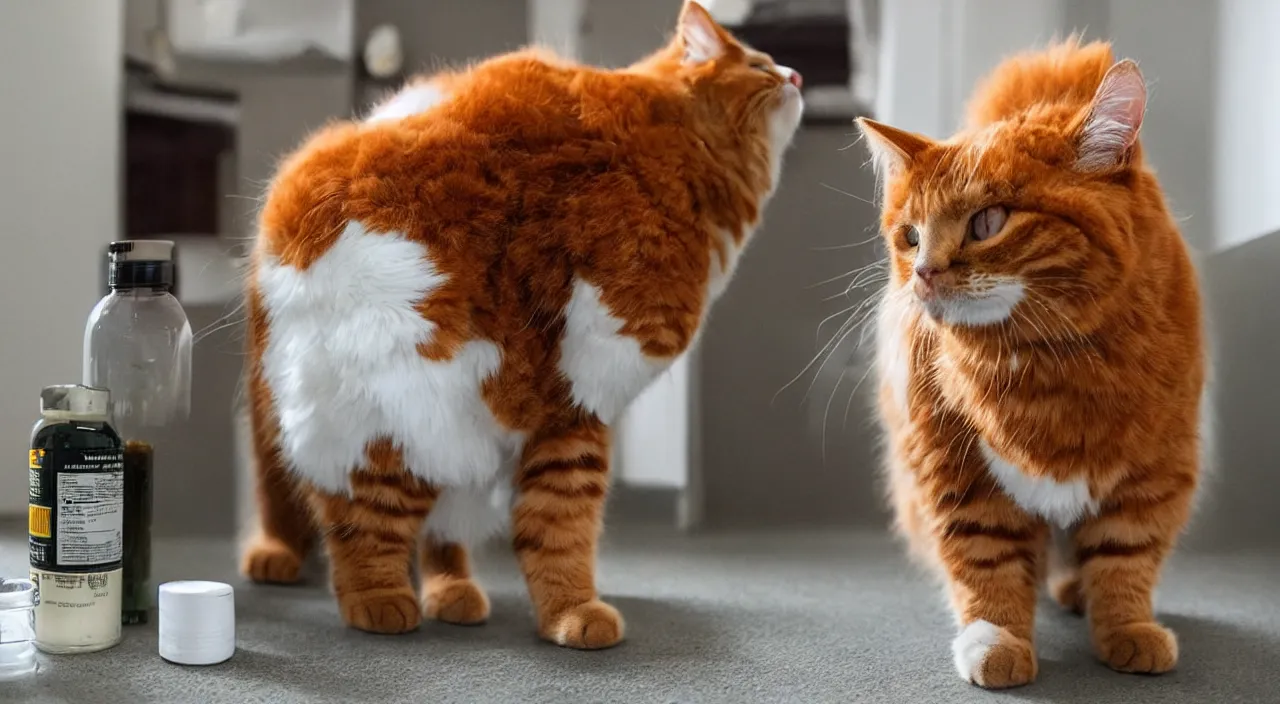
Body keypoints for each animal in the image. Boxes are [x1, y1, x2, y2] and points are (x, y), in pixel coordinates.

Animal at [236, 0, 803, 650]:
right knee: (339, 505)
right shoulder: (585, 393)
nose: (796, 74)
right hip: (385, 406)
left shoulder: (570, 407)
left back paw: (452, 591)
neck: (667, 149)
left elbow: (559, 526)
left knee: (438, 532)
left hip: (447, 429)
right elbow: (381, 525)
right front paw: (375, 596)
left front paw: (569, 612)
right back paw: (356, 591)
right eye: (759, 65)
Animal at [860, 40, 1208, 691]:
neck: (1047, 365)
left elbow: (1126, 556)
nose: (924, 273)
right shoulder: (952, 462)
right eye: (910, 236)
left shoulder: (1156, 465)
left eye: (988, 221)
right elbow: (986, 560)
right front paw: (995, 640)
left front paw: (1127, 629)